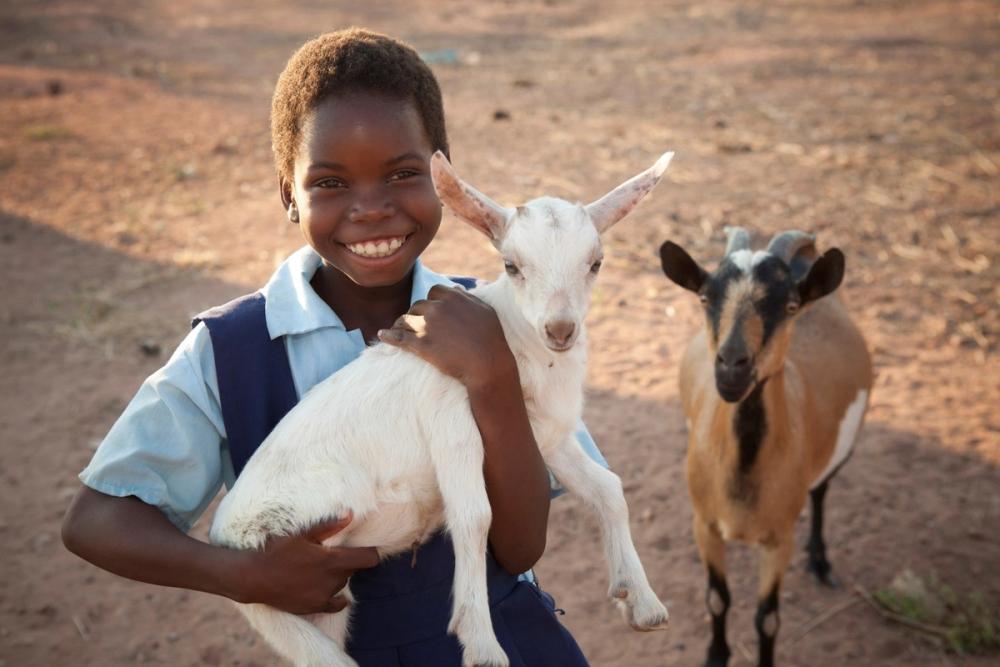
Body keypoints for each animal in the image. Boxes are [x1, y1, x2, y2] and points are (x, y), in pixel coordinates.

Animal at [209, 151, 674, 667]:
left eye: (596, 263)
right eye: (512, 265)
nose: (560, 330)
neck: (515, 348)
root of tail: (225, 536)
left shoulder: (543, 435)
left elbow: (608, 487)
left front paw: (643, 601)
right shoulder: (453, 422)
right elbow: (474, 517)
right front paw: (482, 645)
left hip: (326, 595)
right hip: (276, 569)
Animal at [658, 228, 872, 667]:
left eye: (790, 306)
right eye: (704, 297)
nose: (731, 365)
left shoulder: (779, 538)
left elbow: (768, 619)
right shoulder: (704, 524)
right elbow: (717, 599)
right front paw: (715, 655)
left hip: (838, 453)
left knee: (821, 492)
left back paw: (820, 561)